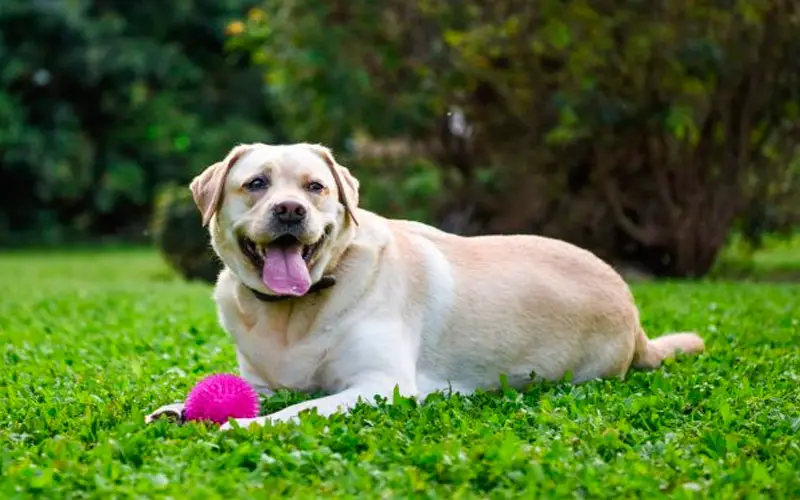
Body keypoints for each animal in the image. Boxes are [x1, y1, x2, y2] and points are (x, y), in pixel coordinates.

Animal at [145, 142, 708, 430]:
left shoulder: (378, 385)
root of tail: (634, 316)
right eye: (256, 184)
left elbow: (292, 413)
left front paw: (236, 426)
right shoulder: (265, 383)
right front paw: (178, 409)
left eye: (315, 187)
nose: (290, 210)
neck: (295, 311)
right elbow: (253, 395)